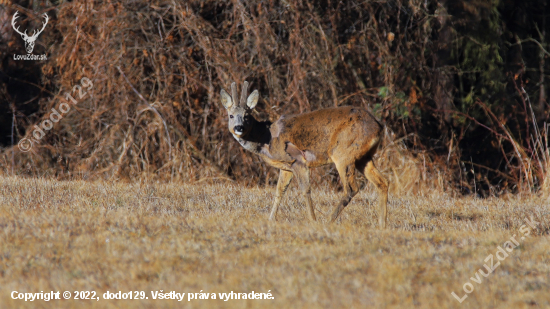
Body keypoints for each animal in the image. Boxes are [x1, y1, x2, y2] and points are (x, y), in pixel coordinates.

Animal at [220, 80, 392, 227]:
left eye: (247, 116)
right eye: (231, 115)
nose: (239, 128)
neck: (266, 138)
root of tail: (378, 126)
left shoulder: (298, 160)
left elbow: (305, 190)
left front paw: (312, 220)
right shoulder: (286, 167)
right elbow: (280, 191)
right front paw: (270, 219)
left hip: (343, 153)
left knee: (351, 188)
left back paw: (328, 221)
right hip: (364, 157)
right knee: (382, 181)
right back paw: (381, 225)